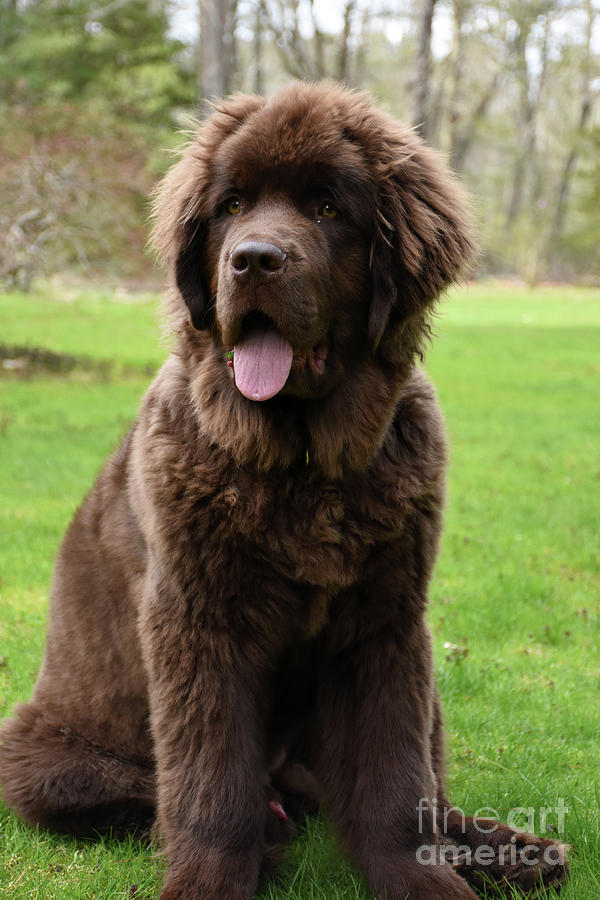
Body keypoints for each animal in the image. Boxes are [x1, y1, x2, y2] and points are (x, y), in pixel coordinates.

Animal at [0, 81, 568, 896]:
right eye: (232, 205)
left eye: (328, 208)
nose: (253, 261)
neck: (302, 465)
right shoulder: (198, 622)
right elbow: (211, 781)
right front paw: (209, 880)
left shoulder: (387, 624)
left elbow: (396, 783)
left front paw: (424, 879)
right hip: (41, 757)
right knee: (171, 793)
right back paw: (273, 828)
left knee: (422, 787)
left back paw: (509, 850)